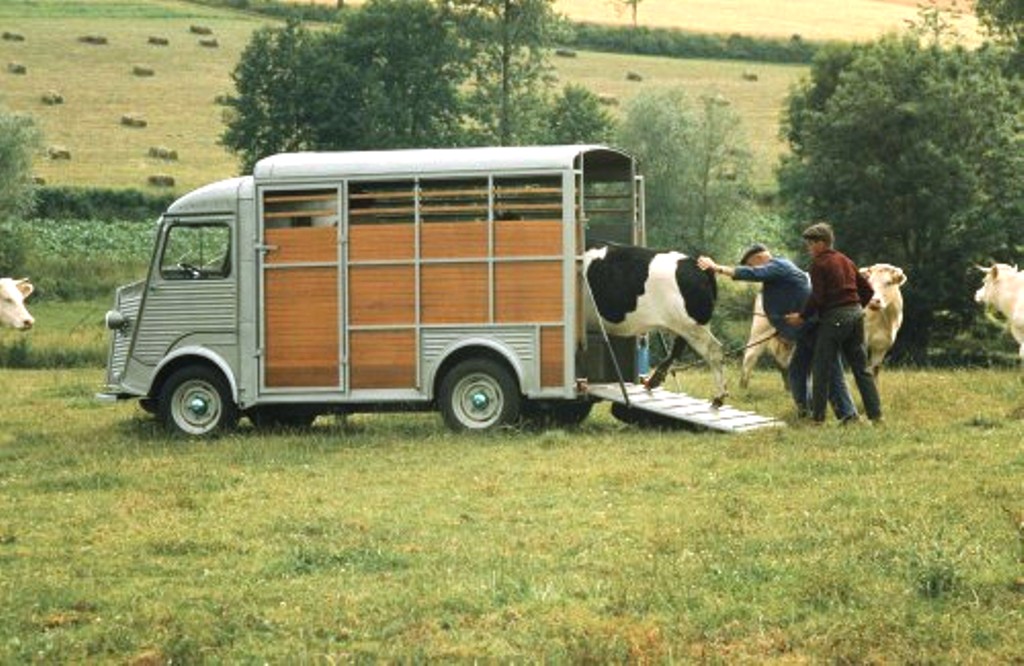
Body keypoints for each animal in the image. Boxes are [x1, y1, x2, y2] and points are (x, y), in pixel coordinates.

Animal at [585, 239, 729, 403]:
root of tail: (695, 263)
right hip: (684, 325)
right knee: (679, 346)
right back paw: (654, 380)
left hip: (692, 325)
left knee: (714, 349)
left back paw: (719, 396)